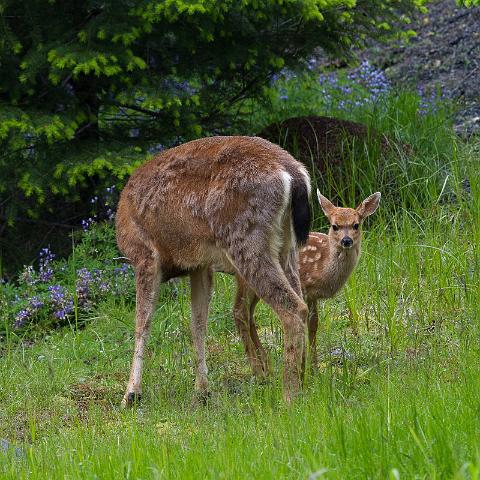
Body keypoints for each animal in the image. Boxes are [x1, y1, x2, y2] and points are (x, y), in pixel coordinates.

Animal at [116, 137, 312, 406]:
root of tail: (293, 173)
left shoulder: (145, 256)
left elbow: (142, 324)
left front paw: (131, 394)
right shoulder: (200, 266)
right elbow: (198, 324)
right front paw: (202, 389)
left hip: (244, 236)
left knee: (294, 309)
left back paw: (289, 396)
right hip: (286, 246)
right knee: (299, 300)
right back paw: (303, 381)